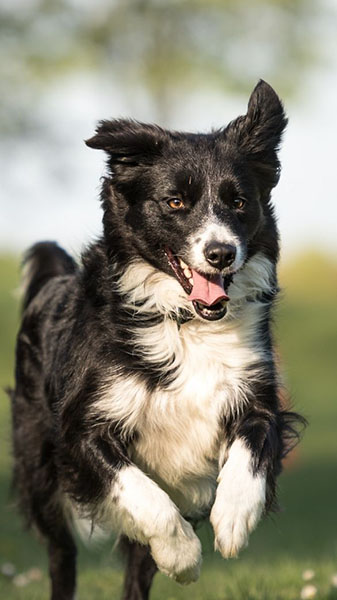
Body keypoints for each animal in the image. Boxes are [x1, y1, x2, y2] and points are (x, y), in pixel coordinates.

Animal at [10, 81, 302, 600]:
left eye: (240, 202)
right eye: (175, 203)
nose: (221, 253)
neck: (186, 323)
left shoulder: (255, 393)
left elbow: (252, 447)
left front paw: (233, 517)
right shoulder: (81, 429)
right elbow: (142, 495)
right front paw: (182, 555)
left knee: (135, 571)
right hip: (38, 469)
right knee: (62, 556)